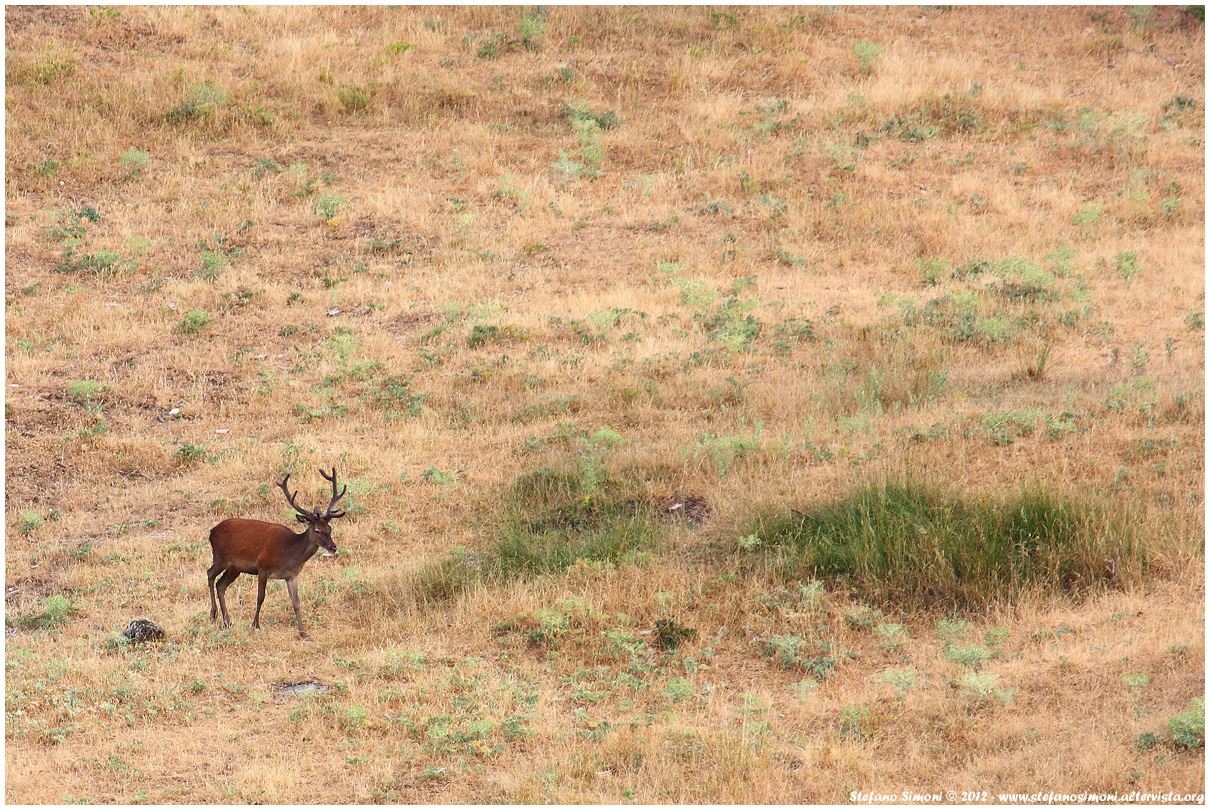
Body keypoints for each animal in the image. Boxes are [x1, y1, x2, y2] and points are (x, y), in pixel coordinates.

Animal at [207, 467, 347, 640]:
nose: (333, 547)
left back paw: (227, 621)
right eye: (317, 530)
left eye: (329, 528)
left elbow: (296, 602)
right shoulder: (262, 567)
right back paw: (213, 615)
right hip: (220, 557)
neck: (288, 554)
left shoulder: (292, 576)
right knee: (210, 574)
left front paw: (304, 633)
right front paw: (255, 625)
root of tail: (211, 532)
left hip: (235, 567)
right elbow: (260, 597)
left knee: (221, 585)